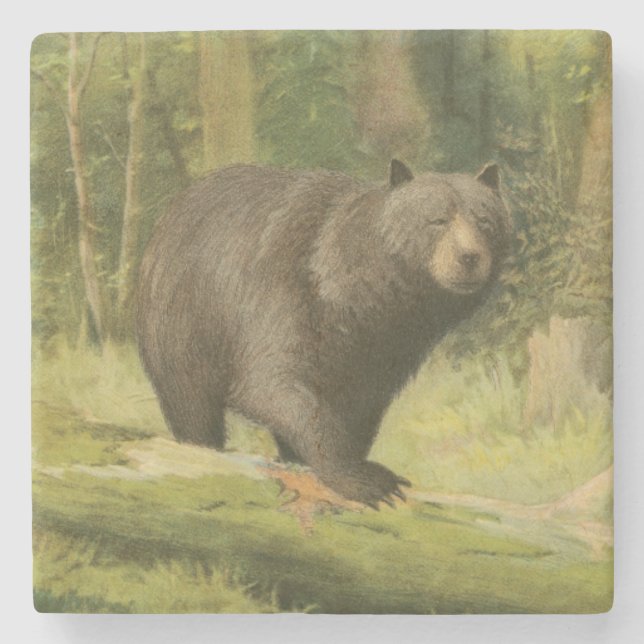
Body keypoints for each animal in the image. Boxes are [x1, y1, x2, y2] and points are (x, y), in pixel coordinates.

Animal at [136, 160, 512, 508]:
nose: (469, 257)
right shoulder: (283, 293)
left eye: (485, 221)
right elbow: (272, 383)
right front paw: (367, 479)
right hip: (183, 322)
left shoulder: (387, 349)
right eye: (437, 220)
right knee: (191, 404)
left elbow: (362, 405)